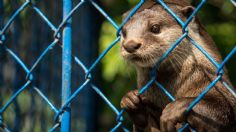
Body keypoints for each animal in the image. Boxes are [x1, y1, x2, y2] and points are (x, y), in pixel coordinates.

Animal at [120, 0, 236, 131]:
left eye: (155, 28)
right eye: (124, 33)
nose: (130, 45)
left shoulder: (220, 87)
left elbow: (224, 110)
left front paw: (176, 108)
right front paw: (132, 102)